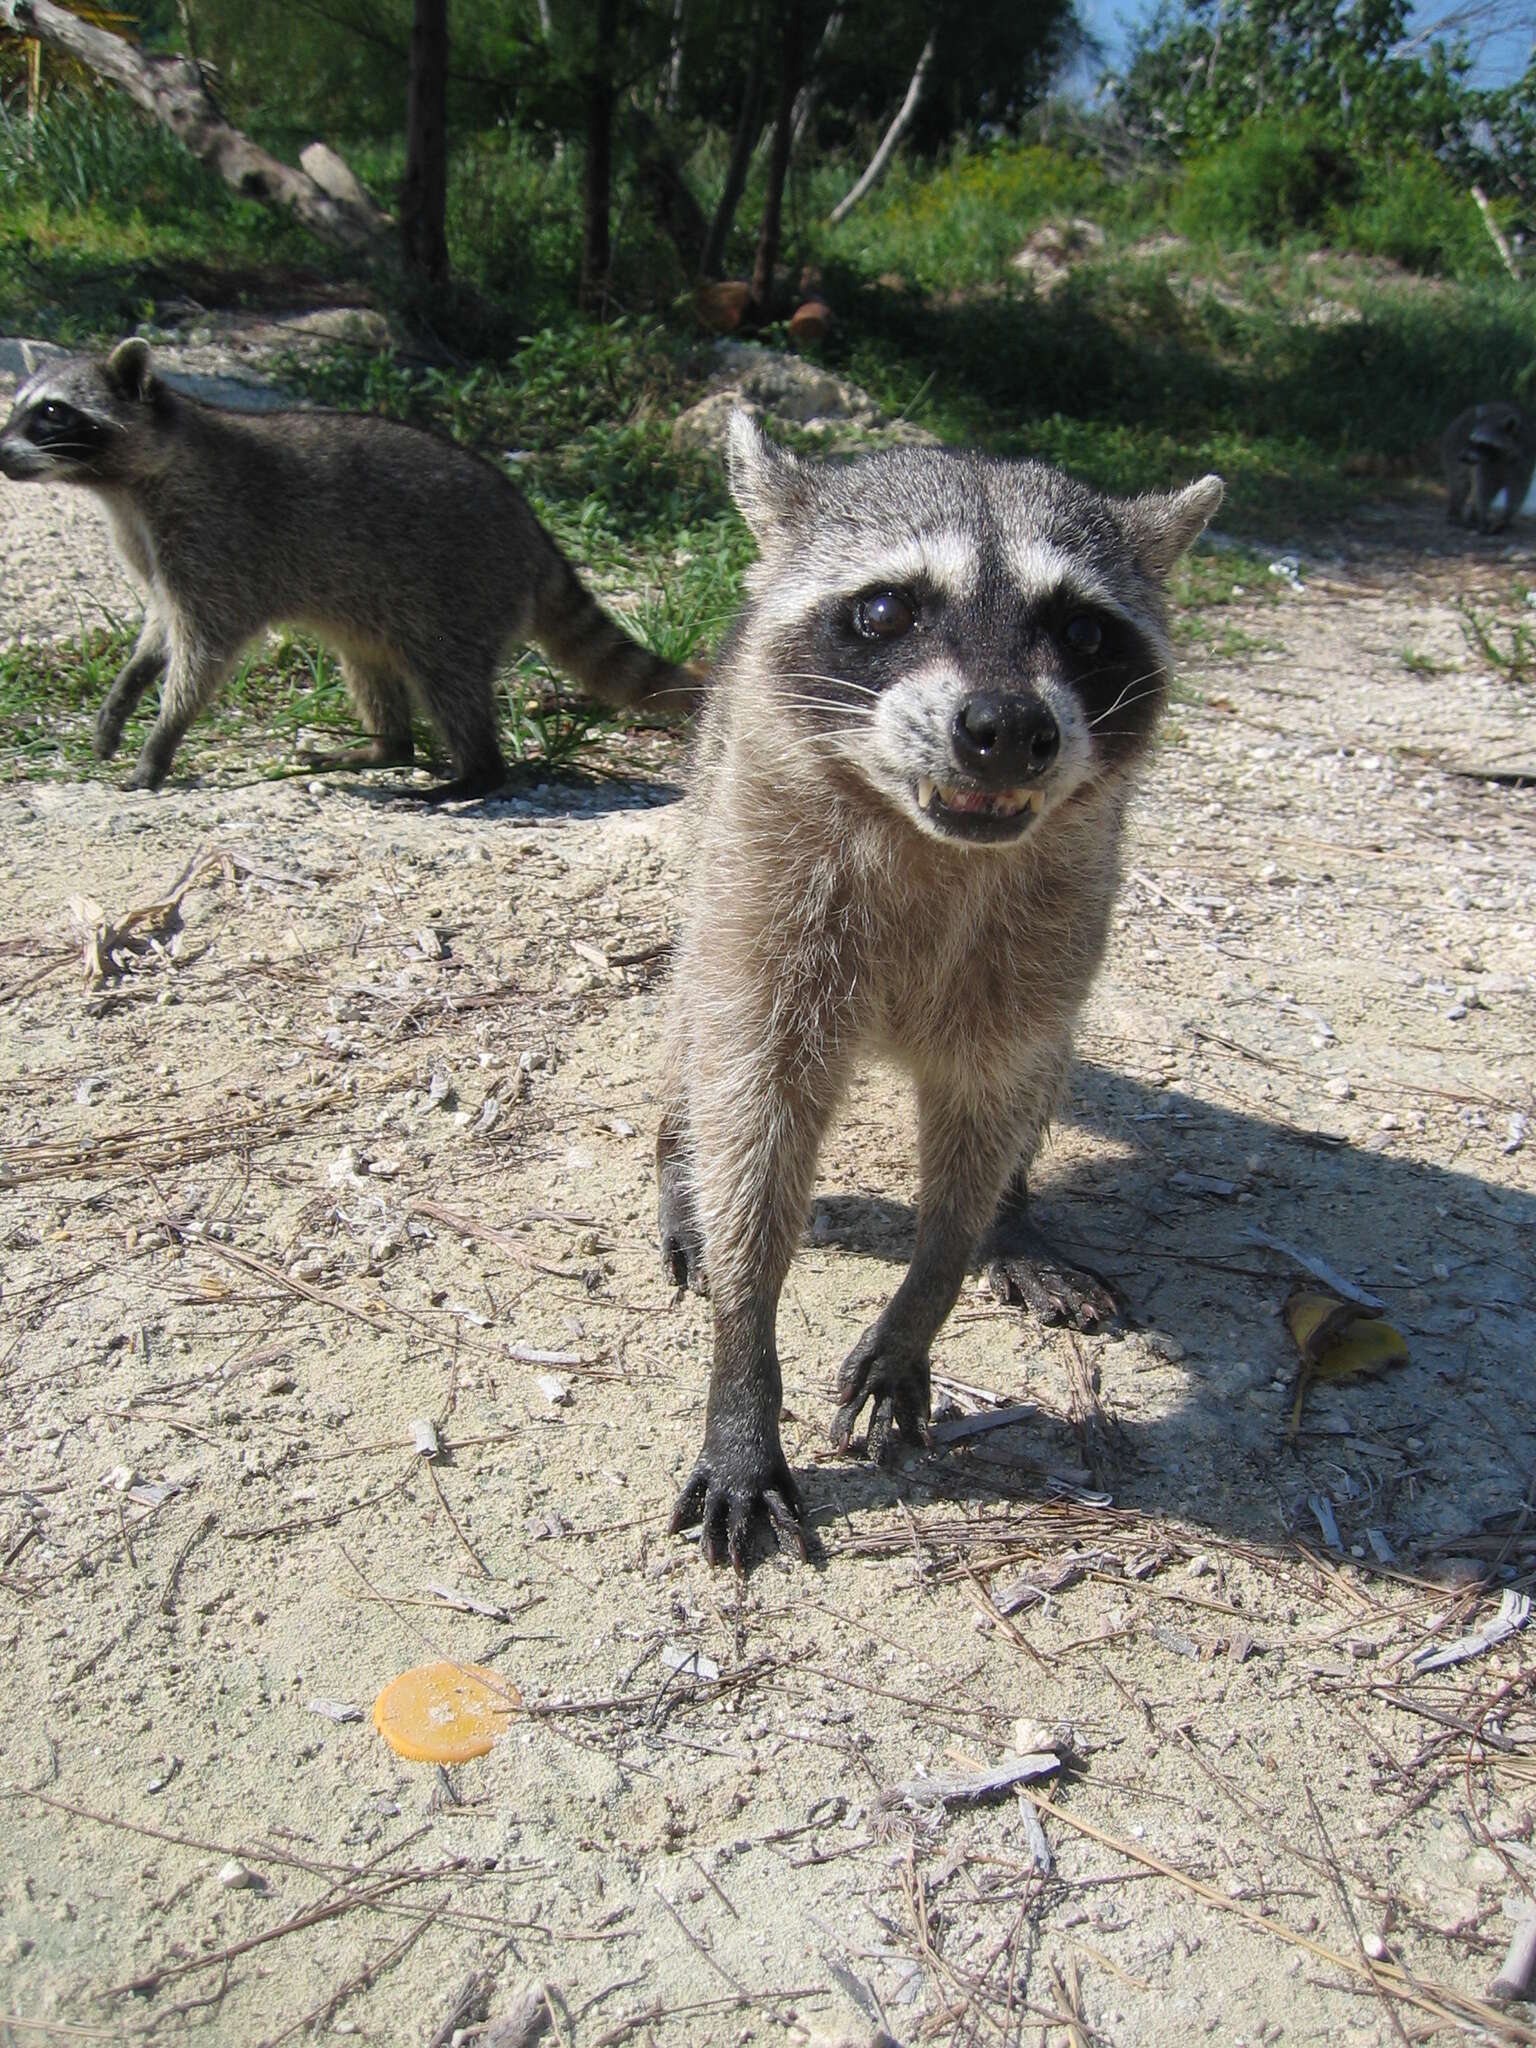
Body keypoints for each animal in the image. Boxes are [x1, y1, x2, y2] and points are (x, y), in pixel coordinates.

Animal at [0, 339, 696, 794]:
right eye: (18, 405)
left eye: (53, 412)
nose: (1, 453)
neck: (124, 484)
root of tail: (532, 530)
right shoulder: (153, 549)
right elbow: (160, 625)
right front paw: (128, 690)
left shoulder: (217, 543)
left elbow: (204, 651)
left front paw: (162, 739)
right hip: (374, 610)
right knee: (367, 666)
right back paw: (385, 746)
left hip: (462, 591)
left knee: (447, 679)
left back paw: (473, 774)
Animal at [663, 415, 1228, 1564]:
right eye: (887, 608)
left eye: (1085, 631)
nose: (1006, 726)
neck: (936, 840)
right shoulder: (764, 890)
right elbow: (751, 1108)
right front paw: (742, 1363)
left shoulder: (1049, 923)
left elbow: (989, 1103)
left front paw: (935, 1281)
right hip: (713, 827)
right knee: (691, 1026)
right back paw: (675, 1163)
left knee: (1041, 1069)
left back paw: (1014, 1215)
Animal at [1449, 399, 1531, 536]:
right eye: (1471, 440)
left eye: (1482, 443)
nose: (1461, 457)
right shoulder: (1483, 465)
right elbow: (1483, 489)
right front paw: (1483, 517)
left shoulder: (1523, 461)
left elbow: (1518, 490)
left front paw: (1506, 516)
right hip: (1453, 443)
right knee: (1459, 484)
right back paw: (1455, 513)